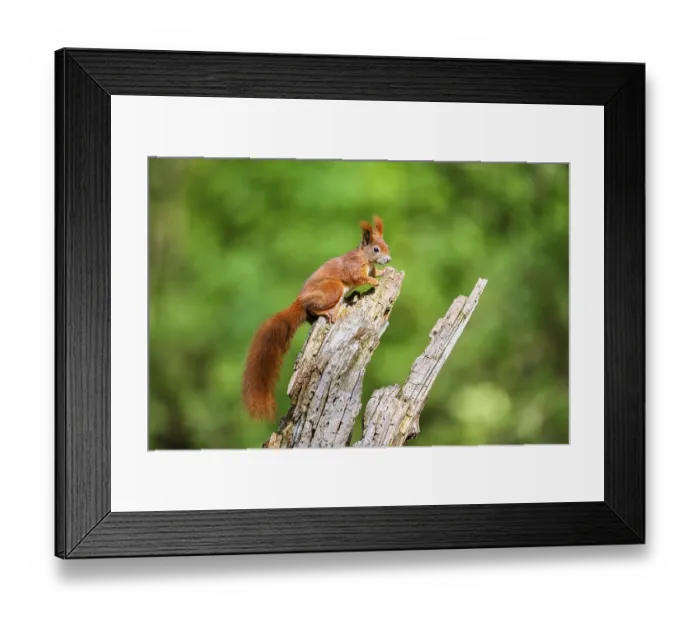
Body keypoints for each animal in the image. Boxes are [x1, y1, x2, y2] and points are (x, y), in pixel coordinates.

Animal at [242, 216, 391, 421]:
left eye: (387, 246)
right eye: (376, 249)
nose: (388, 259)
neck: (364, 258)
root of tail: (299, 301)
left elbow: (374, 272)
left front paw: (383, 272)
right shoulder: (352, 269)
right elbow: (359, 278)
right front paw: (374, 281)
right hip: (333, 288)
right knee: (312, 306)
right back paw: (327, 312)